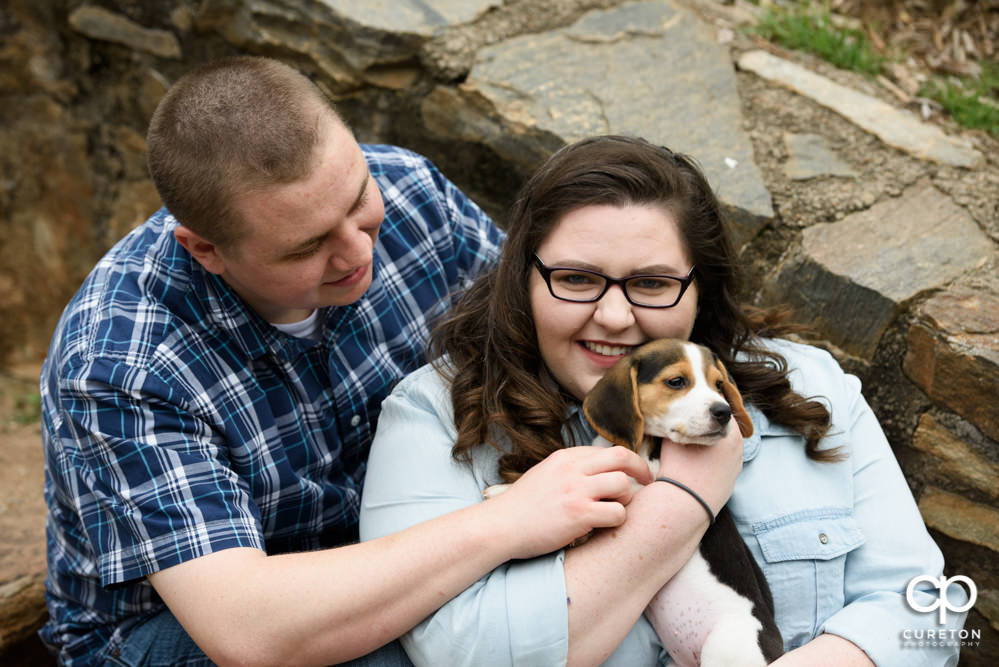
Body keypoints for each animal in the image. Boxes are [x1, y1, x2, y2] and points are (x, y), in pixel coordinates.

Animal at [584, 342, 784, 664]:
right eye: (676, 381)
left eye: (719, 385)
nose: (724, 411)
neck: (645, 445)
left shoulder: (644, 485)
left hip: (725, 649)